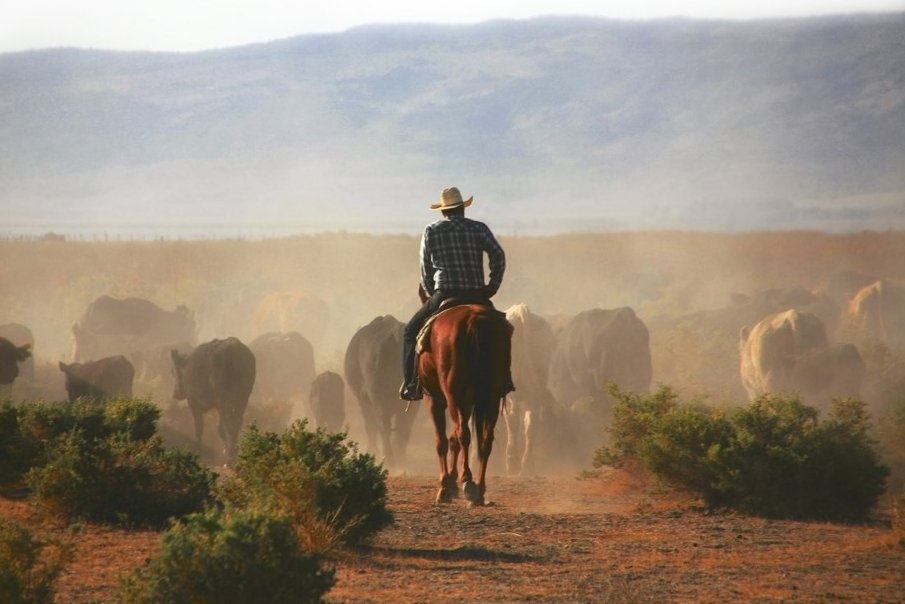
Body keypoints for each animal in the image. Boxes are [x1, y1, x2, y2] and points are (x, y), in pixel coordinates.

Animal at [344, 315, 419, 471]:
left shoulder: (363, 399)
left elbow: (371, 426)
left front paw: (372, 451)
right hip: (413, 403)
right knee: (403, 426)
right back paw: (400, 459)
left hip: (378, 397)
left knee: (383, 425)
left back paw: (389, 458)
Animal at [503, 304, 557, 476]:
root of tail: (520, 310)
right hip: (533, 390)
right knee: (530, 425)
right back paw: (527, 466)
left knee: (514, 422)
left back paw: (516, 464)